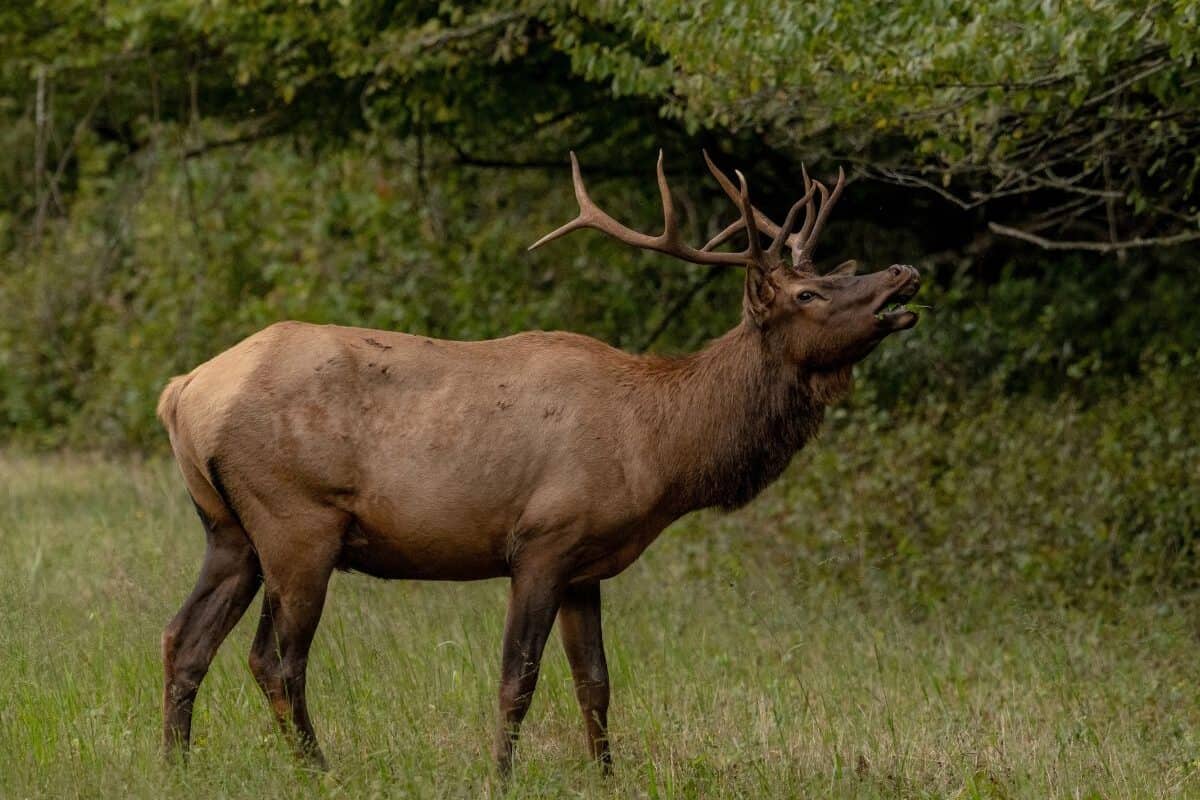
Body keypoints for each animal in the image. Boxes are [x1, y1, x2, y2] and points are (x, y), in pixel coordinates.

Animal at [156, 150, 920, 776]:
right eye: (807, 294)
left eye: (828, 273)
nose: (903, 271)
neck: (658, 448)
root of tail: (182, 392)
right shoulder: (542, 541)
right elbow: (517, 677)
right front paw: (502, 775)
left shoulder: (587, 563)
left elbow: (596, 682)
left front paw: (608, 777)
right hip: (297, 521)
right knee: (275, 658)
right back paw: (318, 768)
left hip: (229, 530)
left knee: (183, 637)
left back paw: (177, 763)